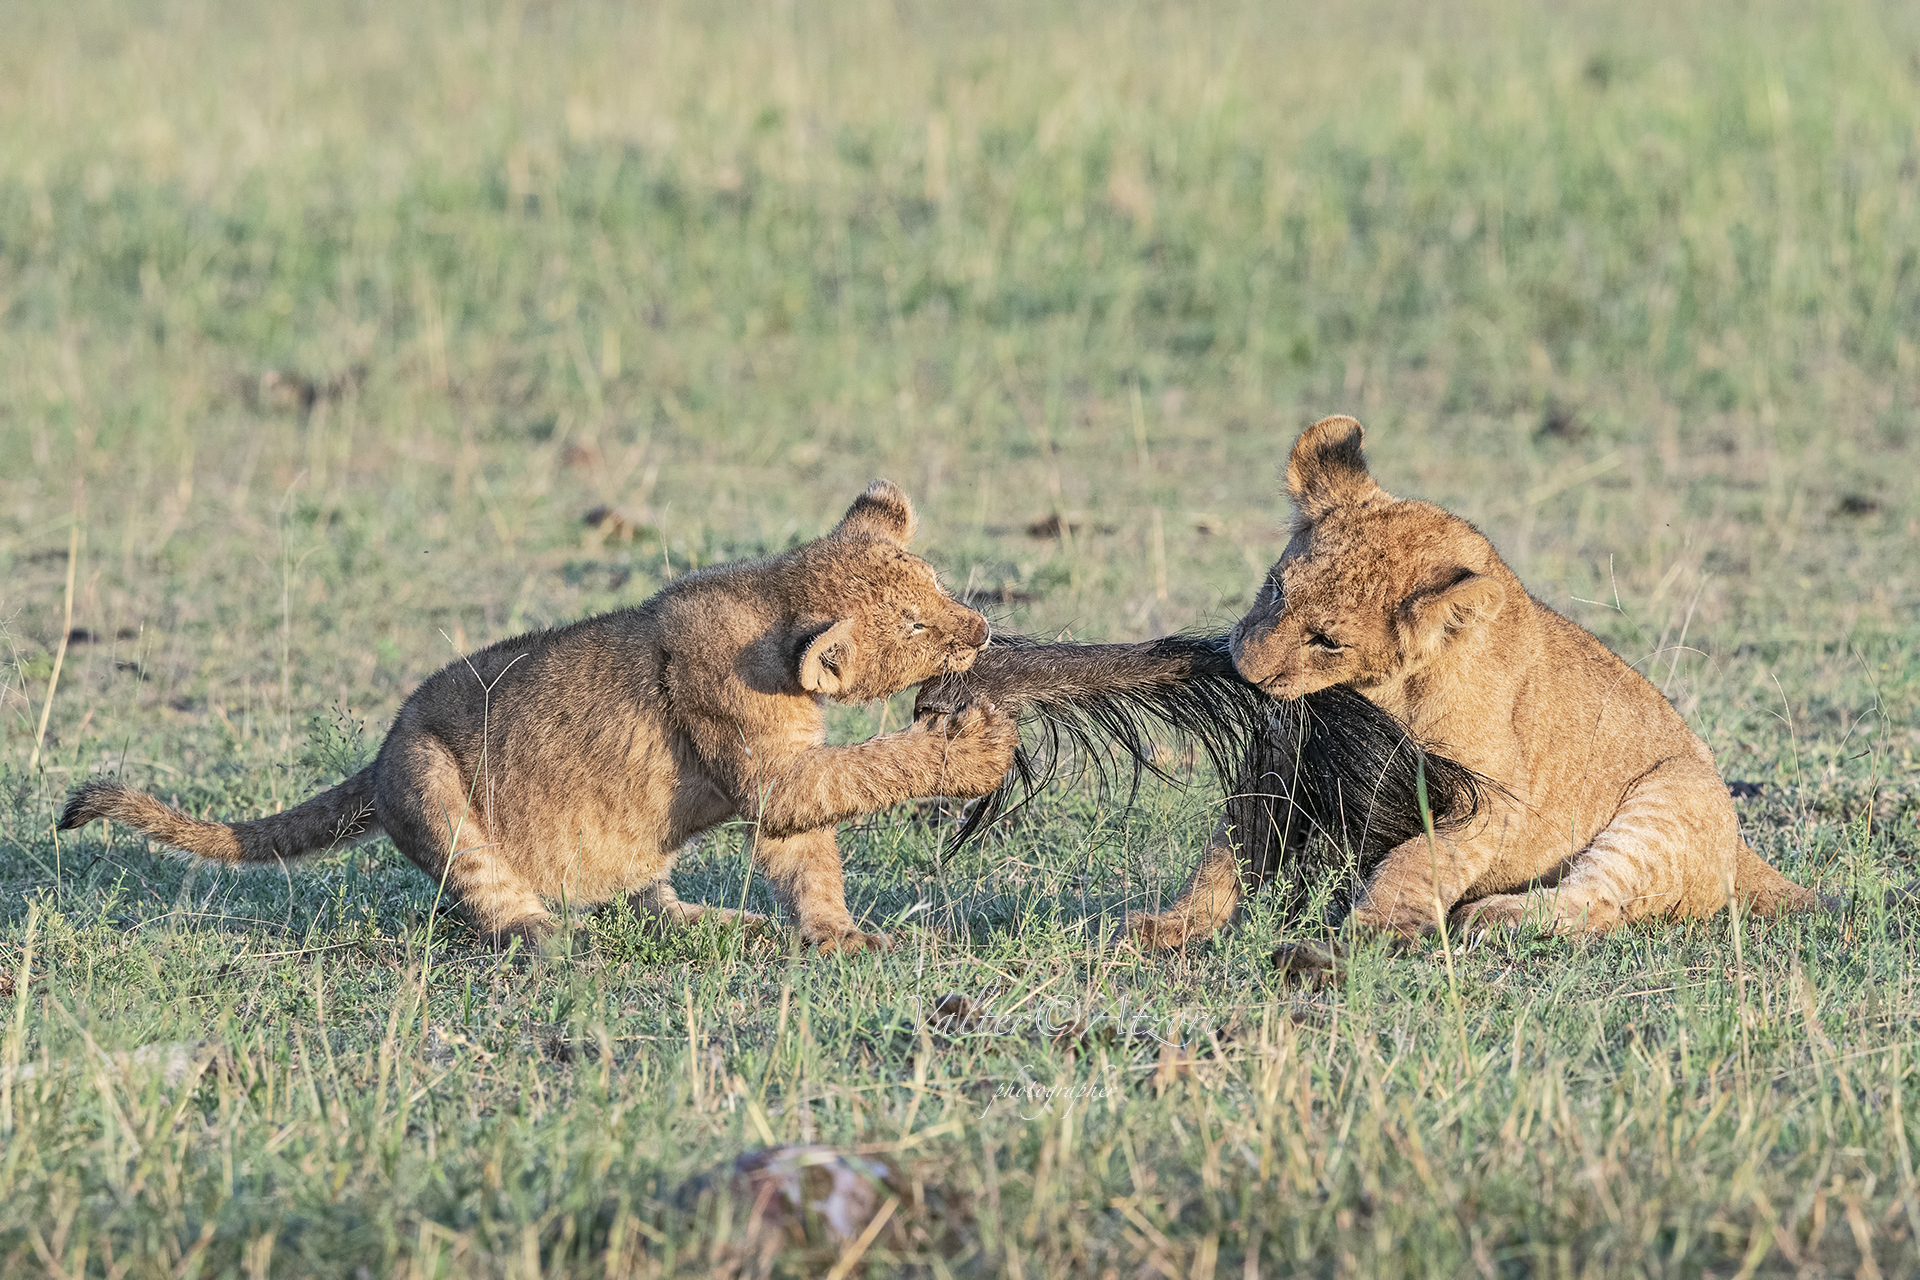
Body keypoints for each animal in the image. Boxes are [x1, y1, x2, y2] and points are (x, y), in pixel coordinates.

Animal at [59, 481, 1018, 952]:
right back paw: (545, 935)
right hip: (432, 783)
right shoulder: (766, 764)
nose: (980, 630)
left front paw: (842, 939)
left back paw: (713, 922)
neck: (774, 607)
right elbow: (865, 769)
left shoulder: (783, 786)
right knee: (487, 891)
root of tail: (375, 760)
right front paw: (975, 747)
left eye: (932, 584)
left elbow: (808, 864)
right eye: (918, 625)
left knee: (646, 901)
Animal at [1128, 415, 1817, 945]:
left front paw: (1371, 930)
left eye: (1328, 641)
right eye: (1276, 589)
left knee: (1593, 901)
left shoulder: (1490, 803)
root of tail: (1744, 852)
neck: (1386, 692)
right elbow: (1225, 853)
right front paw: (1171, 926)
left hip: (1664, 805)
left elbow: (1416, 860)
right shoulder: (1281, 767)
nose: (1244, 667)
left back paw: (1490, 914)